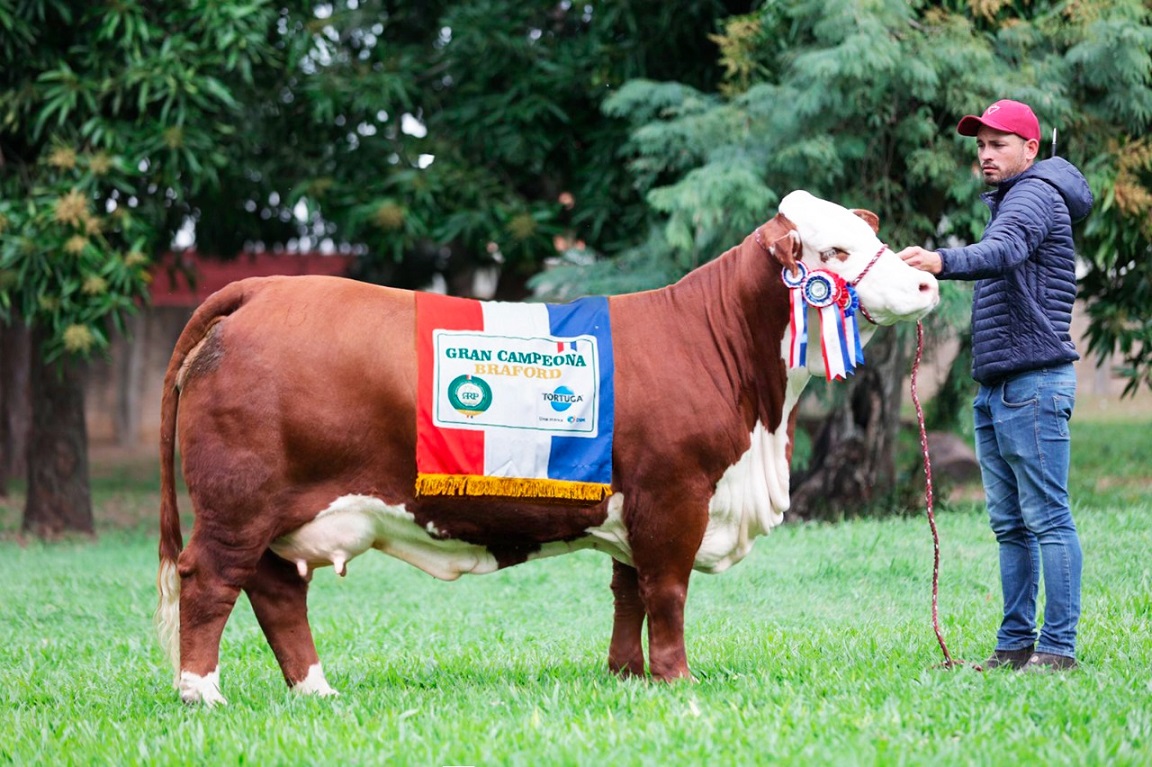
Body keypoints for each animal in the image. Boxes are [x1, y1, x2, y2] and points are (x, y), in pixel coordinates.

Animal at [156, 190, 939, 705]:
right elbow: (668, 591)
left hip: (276, 512)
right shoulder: (674, 494)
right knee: (210, 579)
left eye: (868, 237)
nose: (928, 280)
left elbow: (629, 590)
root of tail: (262, 288)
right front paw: (677, 679)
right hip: (238, 501)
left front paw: (626, 674)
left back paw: (315, 688)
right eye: (835, 252)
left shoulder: (634, 504)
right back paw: (201, 693)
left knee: (276, 590)